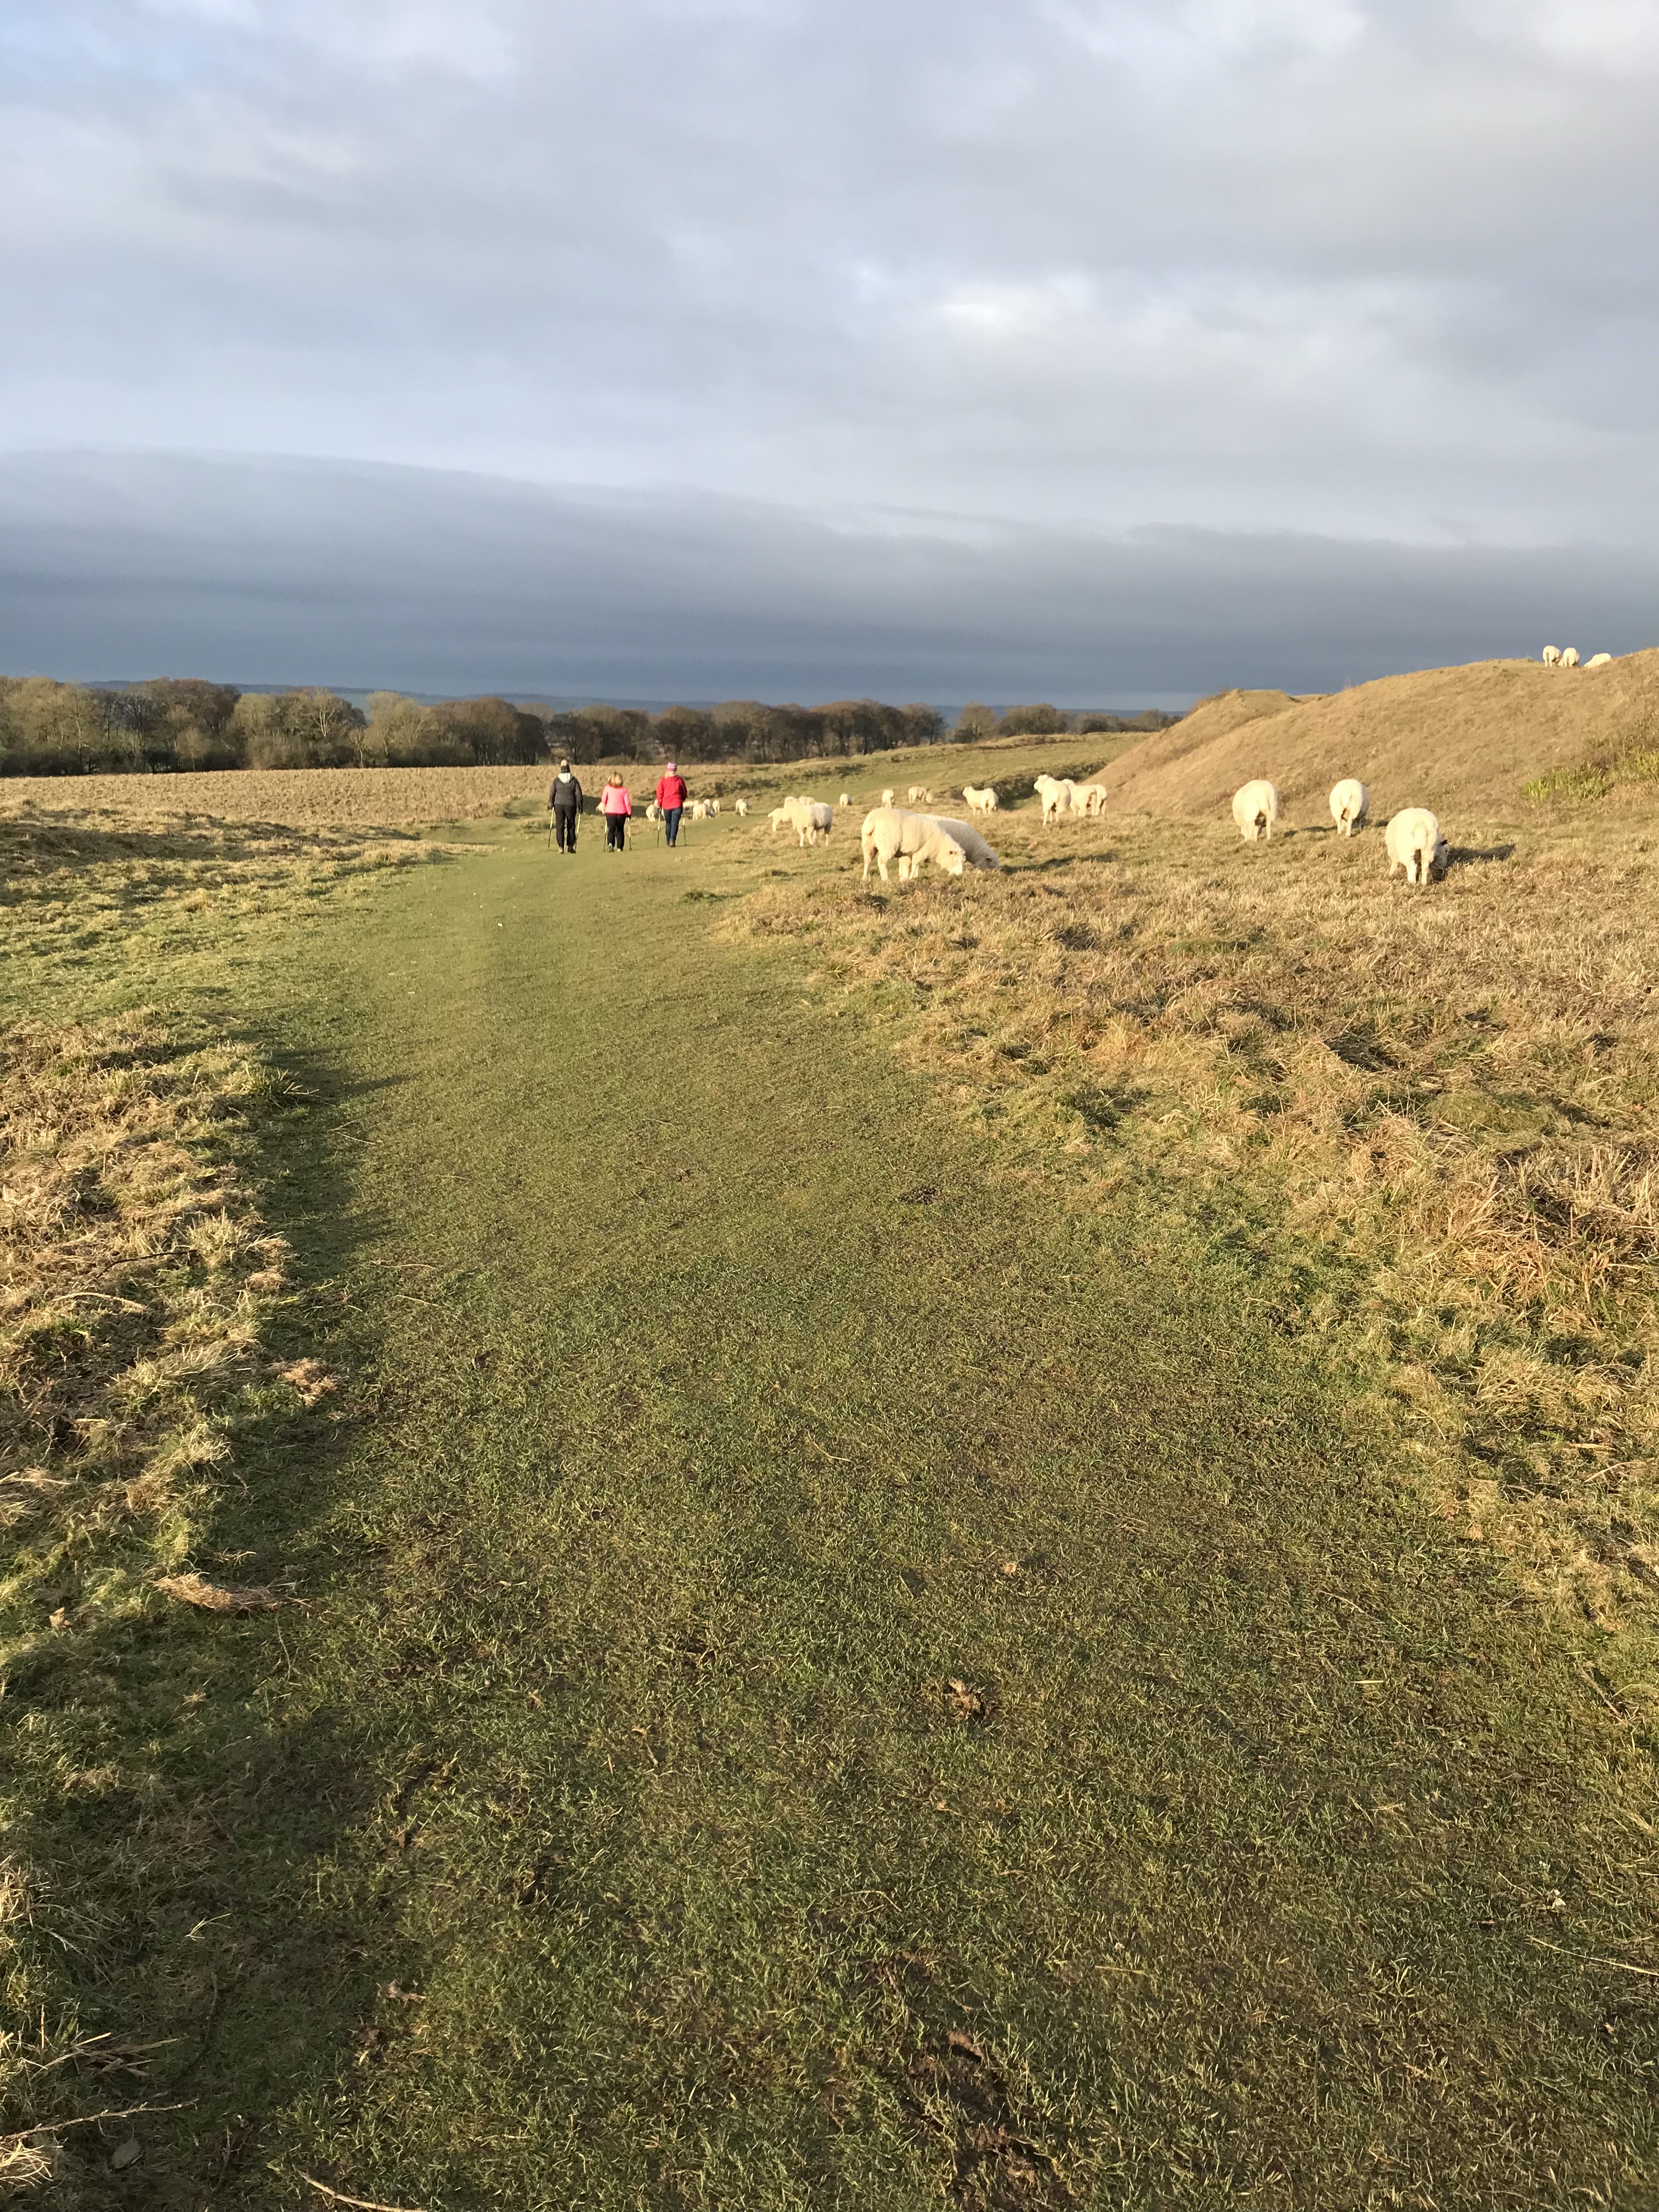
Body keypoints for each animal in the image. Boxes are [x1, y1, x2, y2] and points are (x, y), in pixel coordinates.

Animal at [1380, 809, 1451, 884]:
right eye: (1446, 851)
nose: (1444, 865)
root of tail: (1421, 824)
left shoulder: (1394, 853)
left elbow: (1394, 864)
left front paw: (1391, 874)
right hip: (1428, 848)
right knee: (1425, 865)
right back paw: (1424, 883)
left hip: (1407, 849)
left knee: (1411, 865)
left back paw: (1411, 882)